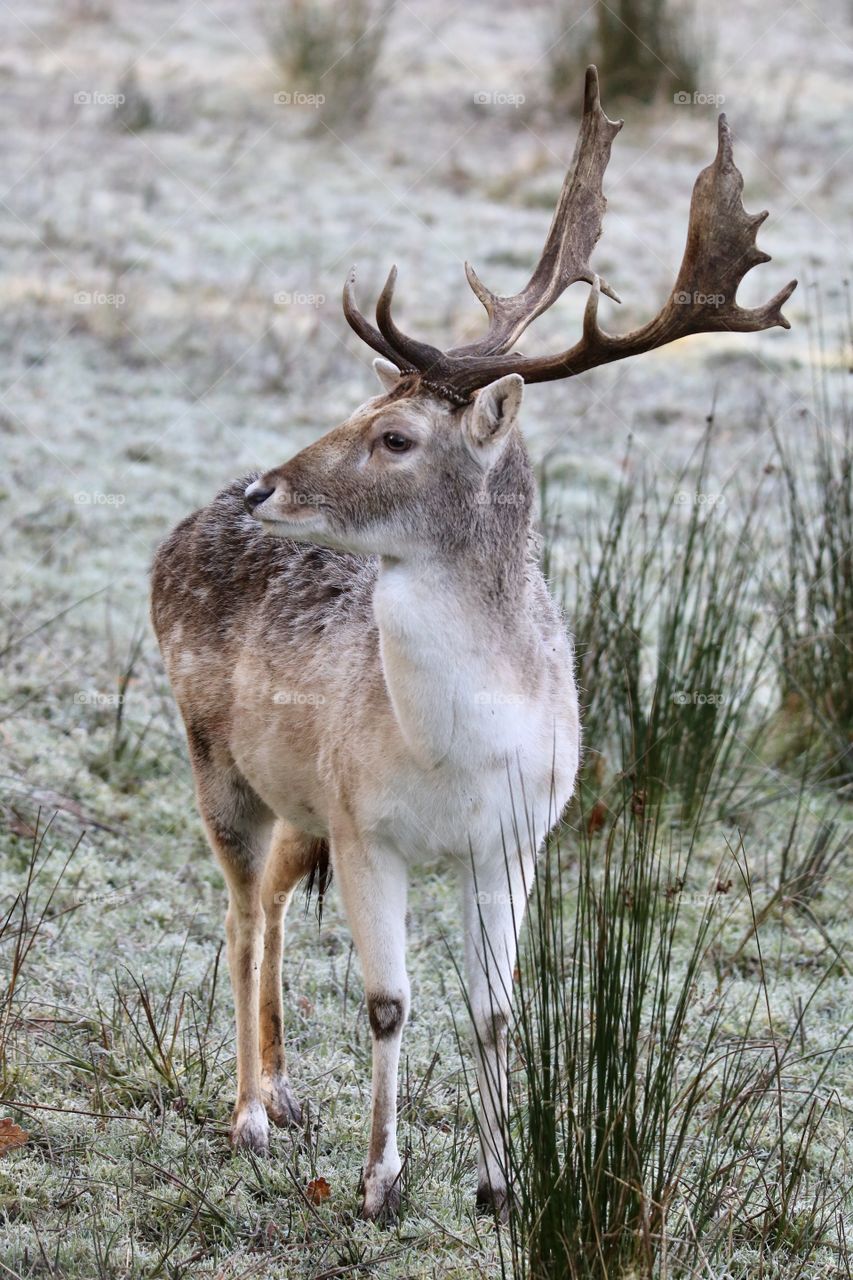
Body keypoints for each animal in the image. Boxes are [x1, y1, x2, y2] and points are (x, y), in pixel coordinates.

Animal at [150, 67, 795, 1223]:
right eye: (364, 400)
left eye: (396, 435)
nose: (266, 488)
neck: (458, 754)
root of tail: (177, 531)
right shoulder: (367, 825)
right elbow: (389, 1001)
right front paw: (380, 1182)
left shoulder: (515, 837)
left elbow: (496, 1011)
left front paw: (504, 1185)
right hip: (214, 758)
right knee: (237, 913)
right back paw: (250, 1116)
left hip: (296, 802)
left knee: (271, 903)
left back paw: (286, 1092)